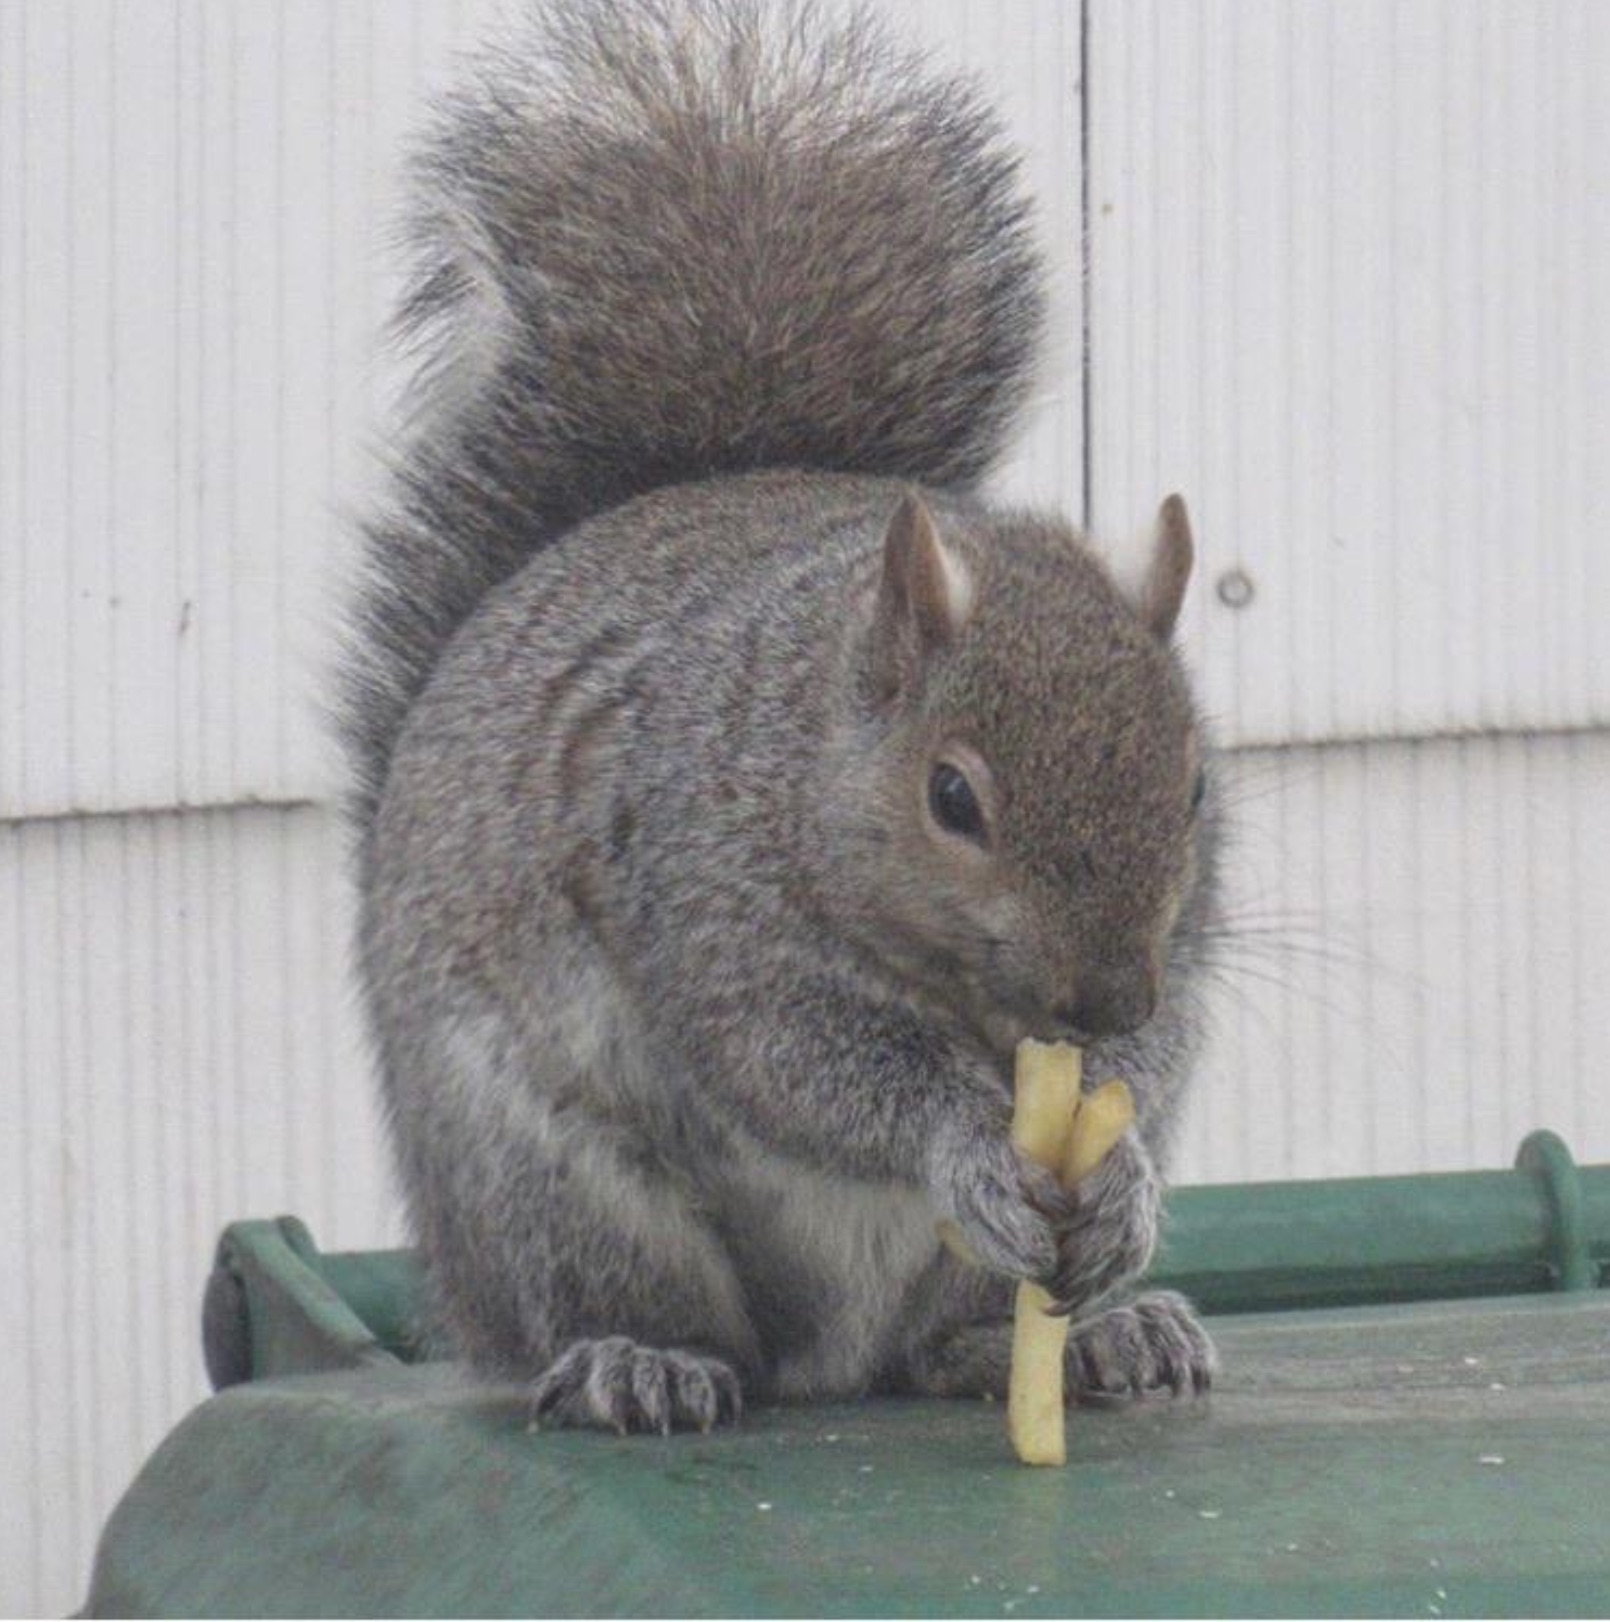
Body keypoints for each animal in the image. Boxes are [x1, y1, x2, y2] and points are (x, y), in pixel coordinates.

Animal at [342, 0, 1219, 1433]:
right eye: (951, 796)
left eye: (1196, 787)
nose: (1099, 999)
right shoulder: (710, 907)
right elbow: (799, 1061)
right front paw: (964, 1138)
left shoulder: (1184, 947)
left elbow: (1162, 1043)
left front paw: (1127, 1172)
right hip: (562, 1187)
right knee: (642, 1317)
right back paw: (639, 1361)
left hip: (924, 1283)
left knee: (931, 1348)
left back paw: (1094, 1337)